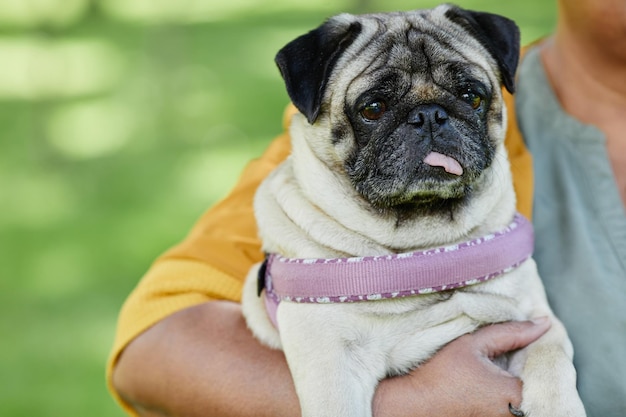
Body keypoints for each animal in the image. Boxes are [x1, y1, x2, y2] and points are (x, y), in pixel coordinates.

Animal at [240, 4, 584, 416]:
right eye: (373, 108)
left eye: (471, 96)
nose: (430, 114)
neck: (426, 248)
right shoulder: (332, 364)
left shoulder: (534, 318)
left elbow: (553, 355)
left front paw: (558, 405)